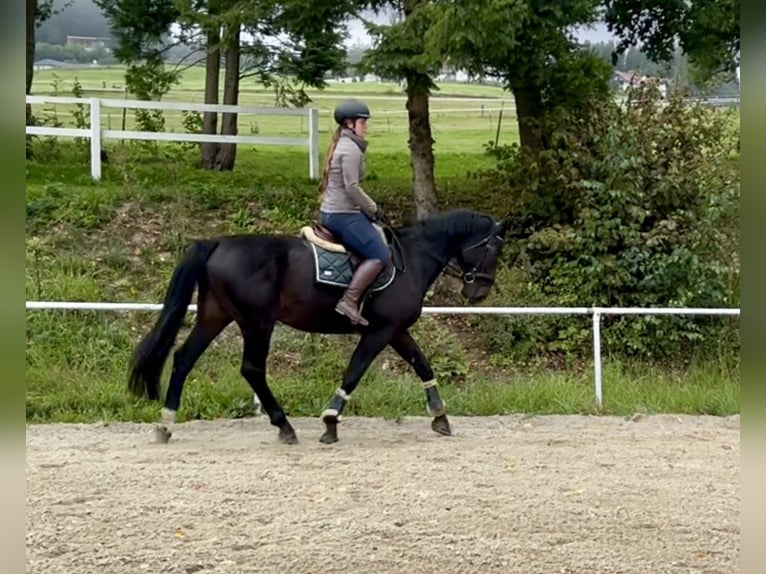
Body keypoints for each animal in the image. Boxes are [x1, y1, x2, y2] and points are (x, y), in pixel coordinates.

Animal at [127, 208, 510, 445]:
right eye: (493, 248)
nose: (479, 291)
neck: (412, 260)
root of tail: (219, 241)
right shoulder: (379, 332)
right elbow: (354, 372)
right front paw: (329, 422)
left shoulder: (397, 330)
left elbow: (422, 365)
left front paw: (440, 417)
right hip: (257, 322)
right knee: (252, 369)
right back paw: (284, 426)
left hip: (215, 315)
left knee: (183, 359)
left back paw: (165, 424)